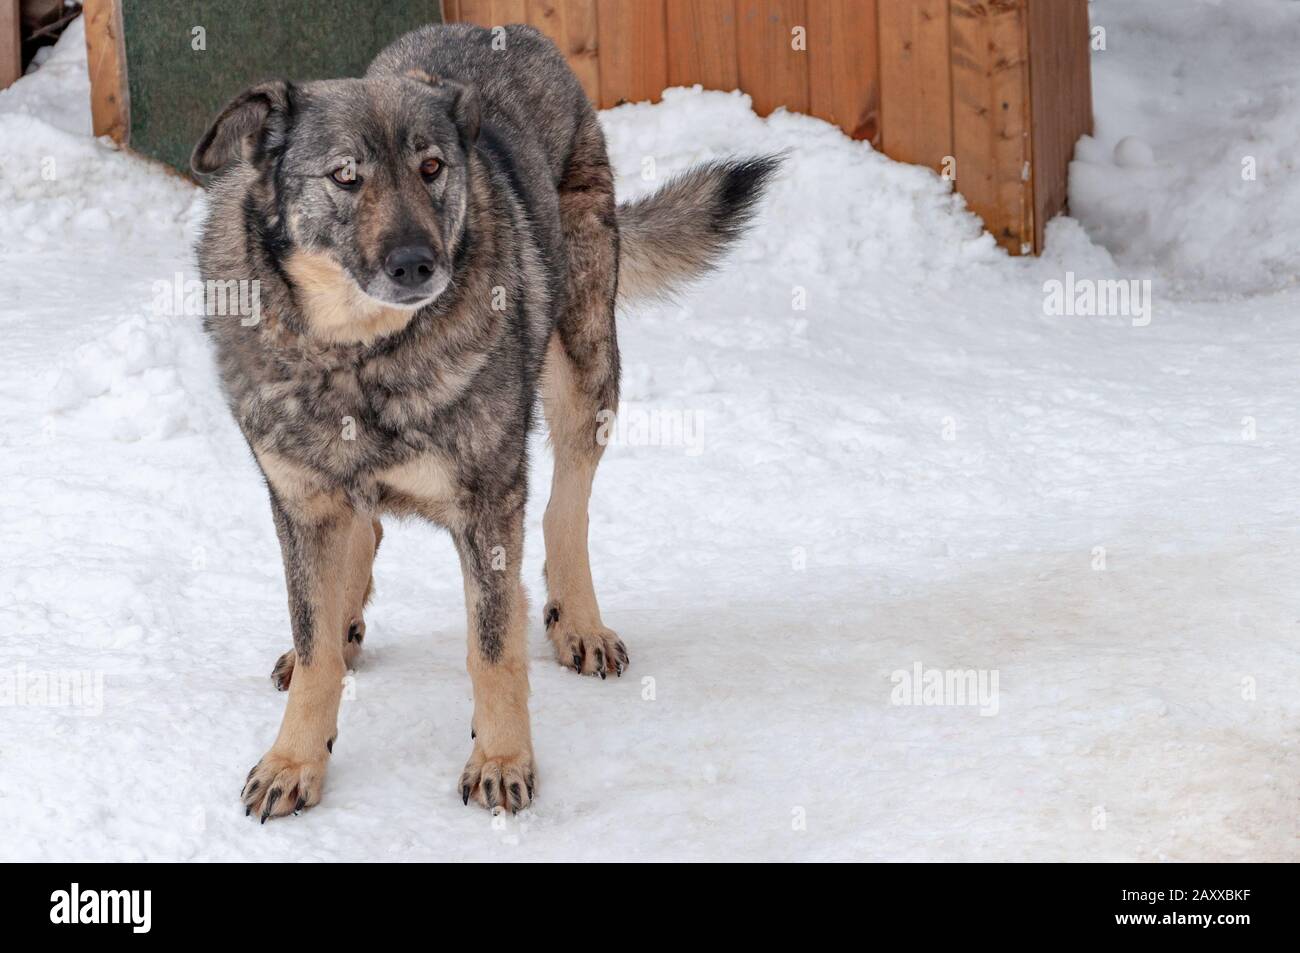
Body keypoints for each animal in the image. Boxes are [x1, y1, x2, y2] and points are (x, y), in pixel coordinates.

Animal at [195, 20, 769, 816]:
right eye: (346, 177)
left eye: (432, 167)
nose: (417, 264)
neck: (360, 354)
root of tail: (508, 29)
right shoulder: (301, 502)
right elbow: (314, 648)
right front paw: (294, 760)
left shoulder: (488, 503)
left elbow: (493, 646)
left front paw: (501, 760)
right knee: (367, 536)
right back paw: (349, 623)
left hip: (584, 368)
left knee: (566, 507)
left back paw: (579, 622)